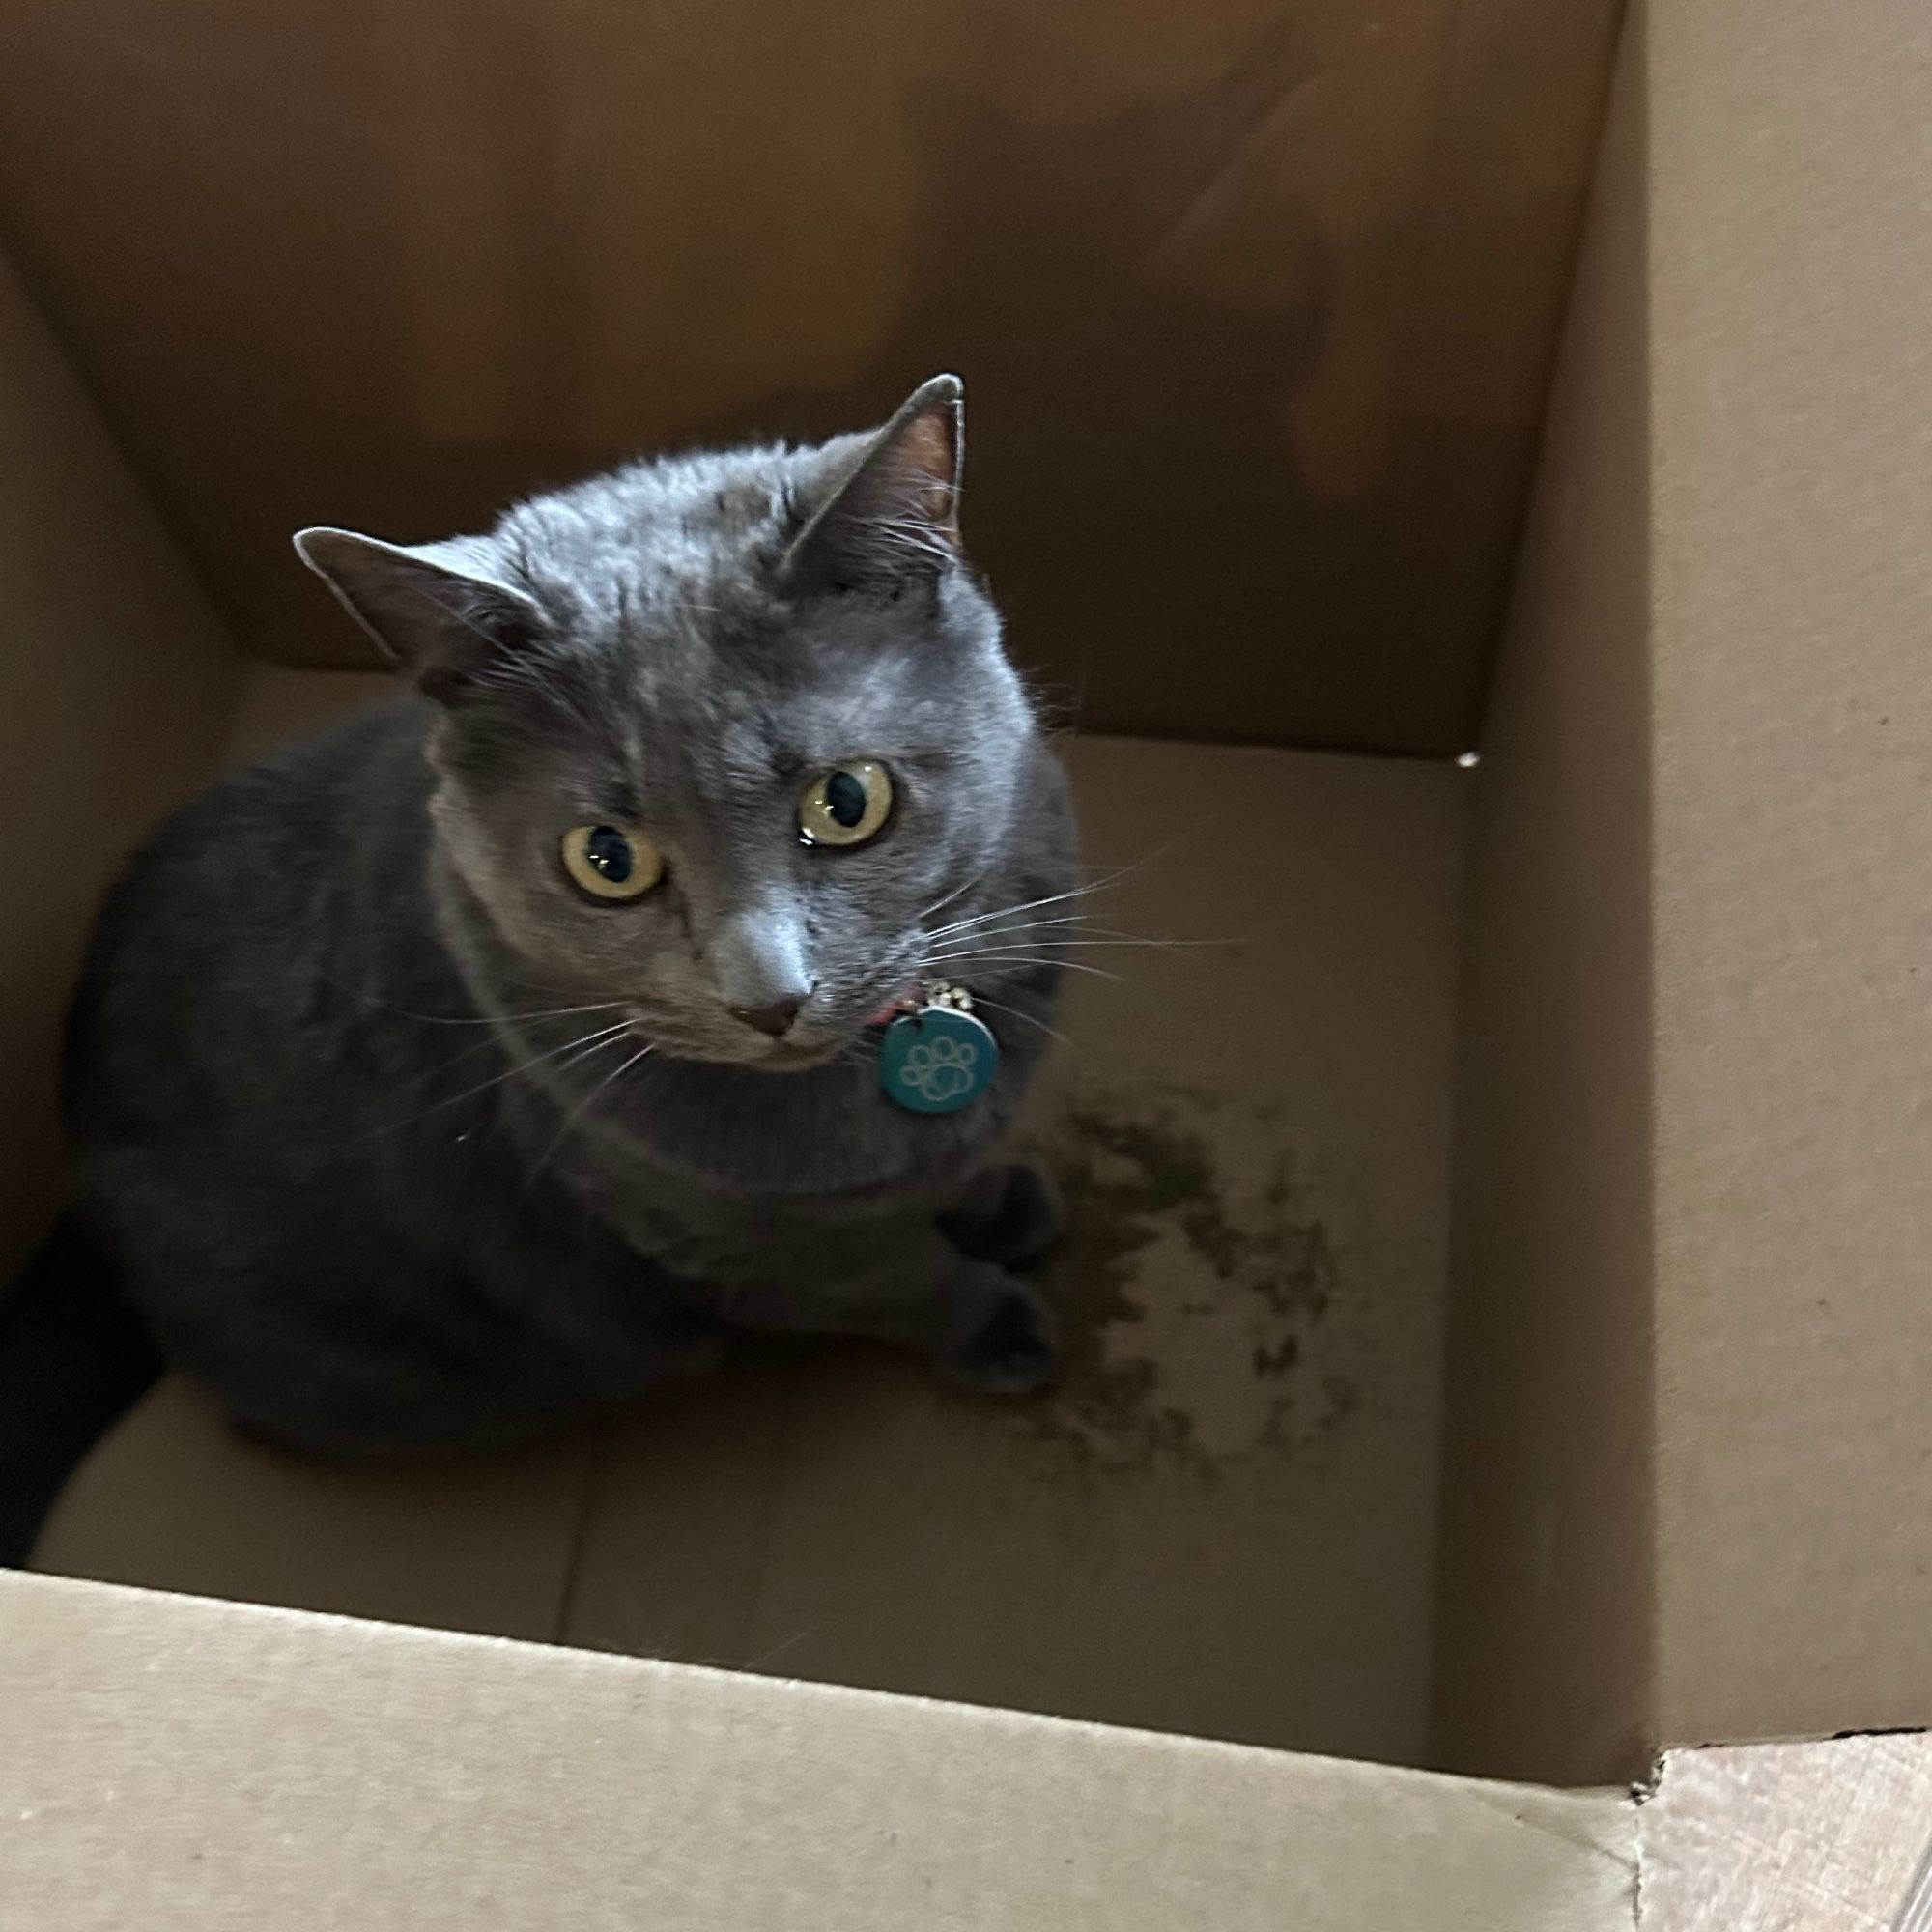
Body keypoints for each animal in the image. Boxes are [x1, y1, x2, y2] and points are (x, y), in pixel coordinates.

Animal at [3, 373, 1074, 1522]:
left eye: (847, 801)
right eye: (607, 860)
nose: (767, 996)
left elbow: (953, 1170)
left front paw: (998, 1198)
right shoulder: (731, 1239)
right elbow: (895, 1274)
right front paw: (990, 1320)